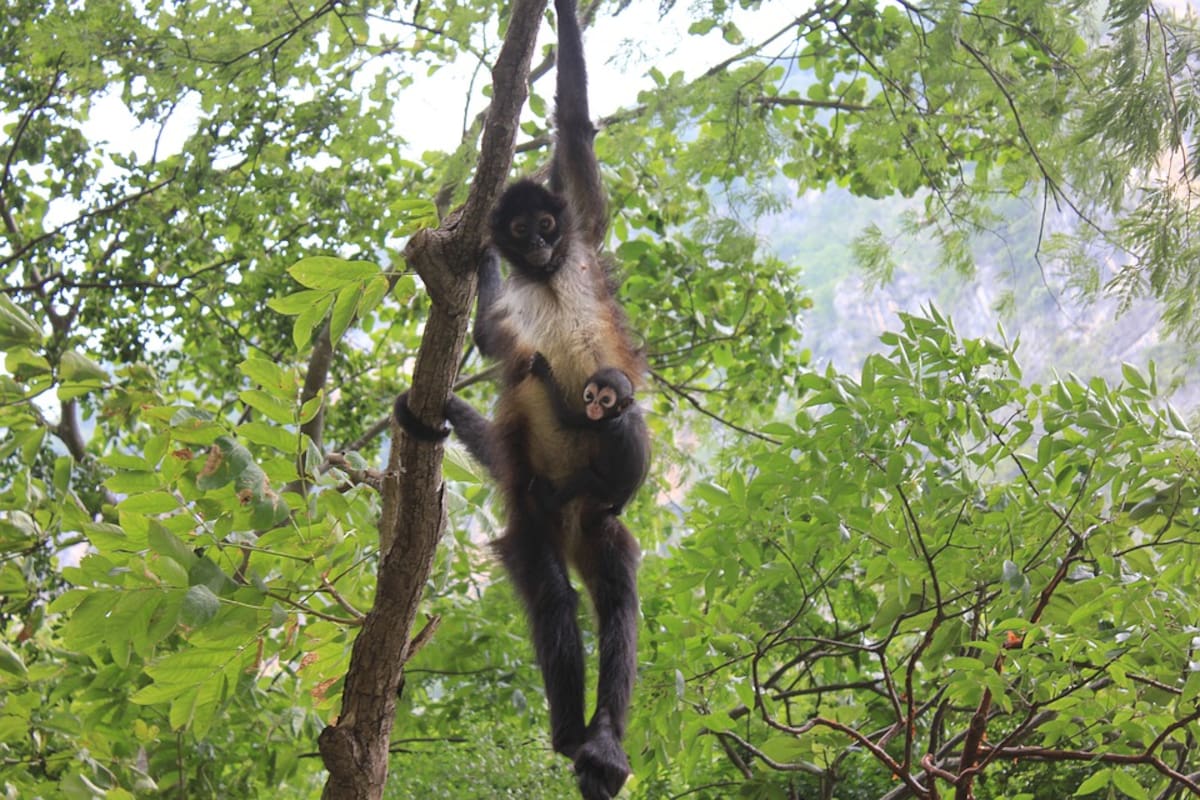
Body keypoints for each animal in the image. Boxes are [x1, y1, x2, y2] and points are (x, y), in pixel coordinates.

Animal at [395, 1, 644, 796]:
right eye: (518, 228)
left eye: (546, 225)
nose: (533, 245)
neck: (544, 278)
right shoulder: (510, 324)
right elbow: (491, 339)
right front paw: (471, 264)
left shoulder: (584, 235)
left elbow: (576, 133)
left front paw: (559, 14)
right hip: (534, 516)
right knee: (556, 597)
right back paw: (570, 736)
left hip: (594, 521)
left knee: (617, 594)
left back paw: (604, 742)